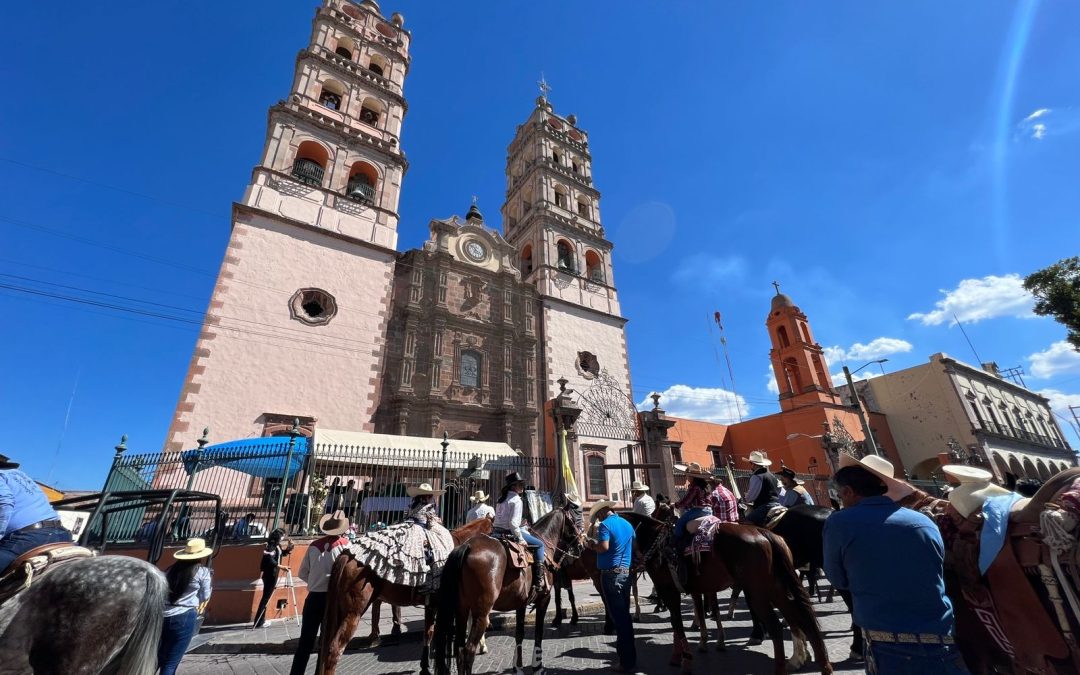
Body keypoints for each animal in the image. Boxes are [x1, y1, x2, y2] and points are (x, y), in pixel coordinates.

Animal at [315, 514, 494, 673]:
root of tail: (346, 555)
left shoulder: (432, 603)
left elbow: (428, 633)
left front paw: (424, 667)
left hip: (339, 608)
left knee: (326, 645)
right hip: (354, 610)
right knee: (334, 649)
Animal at [432, 505, 587, 673]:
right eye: (573, 520)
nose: (582, 543)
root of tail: (467, 546)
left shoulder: (521, 603)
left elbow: (519, 634)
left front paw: (517, 667)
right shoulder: (544, 599)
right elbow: (538, 633)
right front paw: (537, 666)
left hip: (461, 609)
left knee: (459, 650)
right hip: (481, 612)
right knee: (468, 650)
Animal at [622, 509, 829, 673]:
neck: (655, 541)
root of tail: (764, 533)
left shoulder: (668, 589)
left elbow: (678, 623)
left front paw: (685, 661)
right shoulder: (693, 589)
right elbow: (687, 618)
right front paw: (686, 651)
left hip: (757, 592)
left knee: (777, 626)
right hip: (776, 588)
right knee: (801, 619)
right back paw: (817, 664)